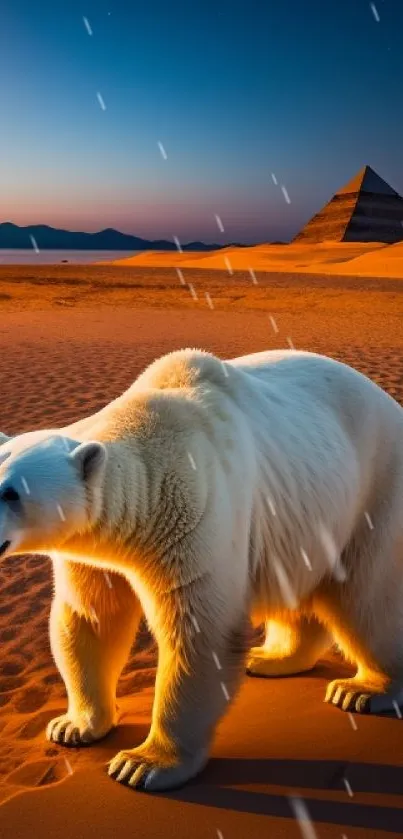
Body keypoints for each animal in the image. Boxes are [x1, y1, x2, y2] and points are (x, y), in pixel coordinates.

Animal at [0, 350, 403, 796]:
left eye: (11, 492)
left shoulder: (194, 512)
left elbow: (198, 631)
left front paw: (142, 764)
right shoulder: (92, 552)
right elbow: (90, 618)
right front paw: (73, 726)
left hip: (373, 490)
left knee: (366, 598)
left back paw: (364, 690)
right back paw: (272, 657)